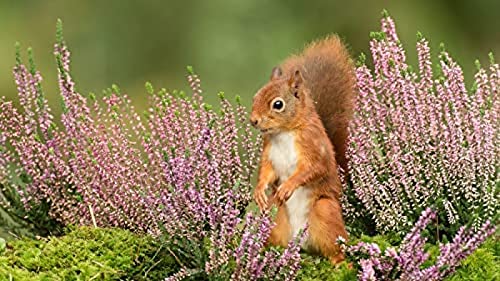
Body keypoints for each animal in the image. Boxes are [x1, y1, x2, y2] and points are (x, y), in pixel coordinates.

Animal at [250, 35, 356, 262]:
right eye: (256, 96)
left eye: (278, 104)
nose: (253, 120)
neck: (284, 133)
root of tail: (301, 242)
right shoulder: (269, 153)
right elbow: (267, 171)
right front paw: (259, 191)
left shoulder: (313, 146)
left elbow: (313, 168)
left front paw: (288, 186)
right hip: (276, 220)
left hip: (325, 212)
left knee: (337, 250)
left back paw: (340, 264)